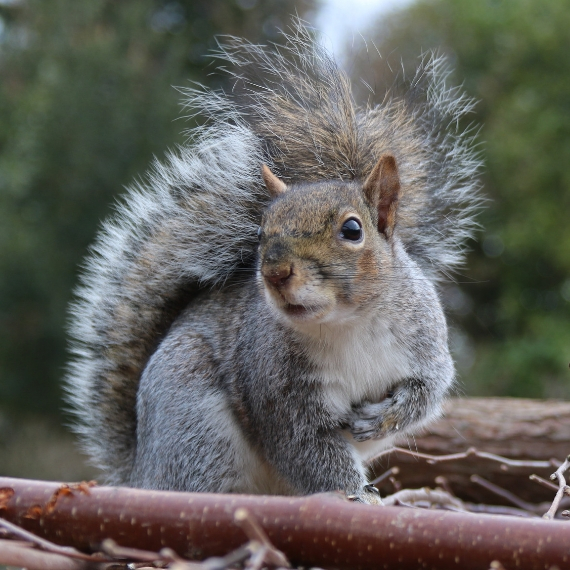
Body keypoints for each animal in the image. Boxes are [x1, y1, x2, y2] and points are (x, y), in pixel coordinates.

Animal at [64, 22, 482, 502]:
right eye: (261, 232)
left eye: (352, 230)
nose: (276, 272)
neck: (348, 324)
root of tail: (139, 472)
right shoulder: (276, 389)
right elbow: (308, 451)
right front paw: (355, 495)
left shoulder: (424, 344)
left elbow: (428, 391)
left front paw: (386, 418)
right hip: (195, 428)